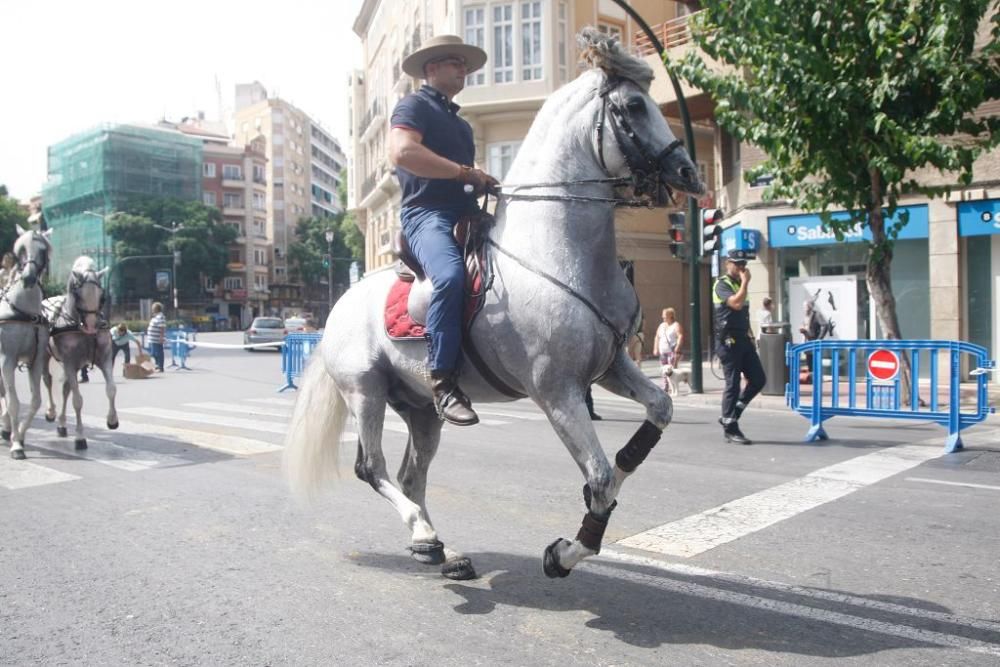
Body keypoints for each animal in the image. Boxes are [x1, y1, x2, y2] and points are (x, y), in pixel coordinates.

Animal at [41, 258, 116, 452]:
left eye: (101, 295)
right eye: (78, 294)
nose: (91, 326)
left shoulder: (104, 357)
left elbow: (111, 389)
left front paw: (112, 420)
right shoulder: (69, 361)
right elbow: (77, 400)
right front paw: (80, 437)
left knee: (66, 388)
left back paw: (61, 424)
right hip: (45, 355)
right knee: (48, 380)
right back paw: (51, 412)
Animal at [282, 28, 704, 580]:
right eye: (633, 106)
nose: (689, 172)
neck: (556, 252)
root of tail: (340, 303)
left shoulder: (610, 366)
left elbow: (657, 412)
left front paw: (627, 461)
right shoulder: (556, 390)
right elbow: (597, 477)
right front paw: (565, 552)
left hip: (422, 408)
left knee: (411, 474)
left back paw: (439, 550)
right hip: (365, 390)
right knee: (371, 467)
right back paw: (422, 533)